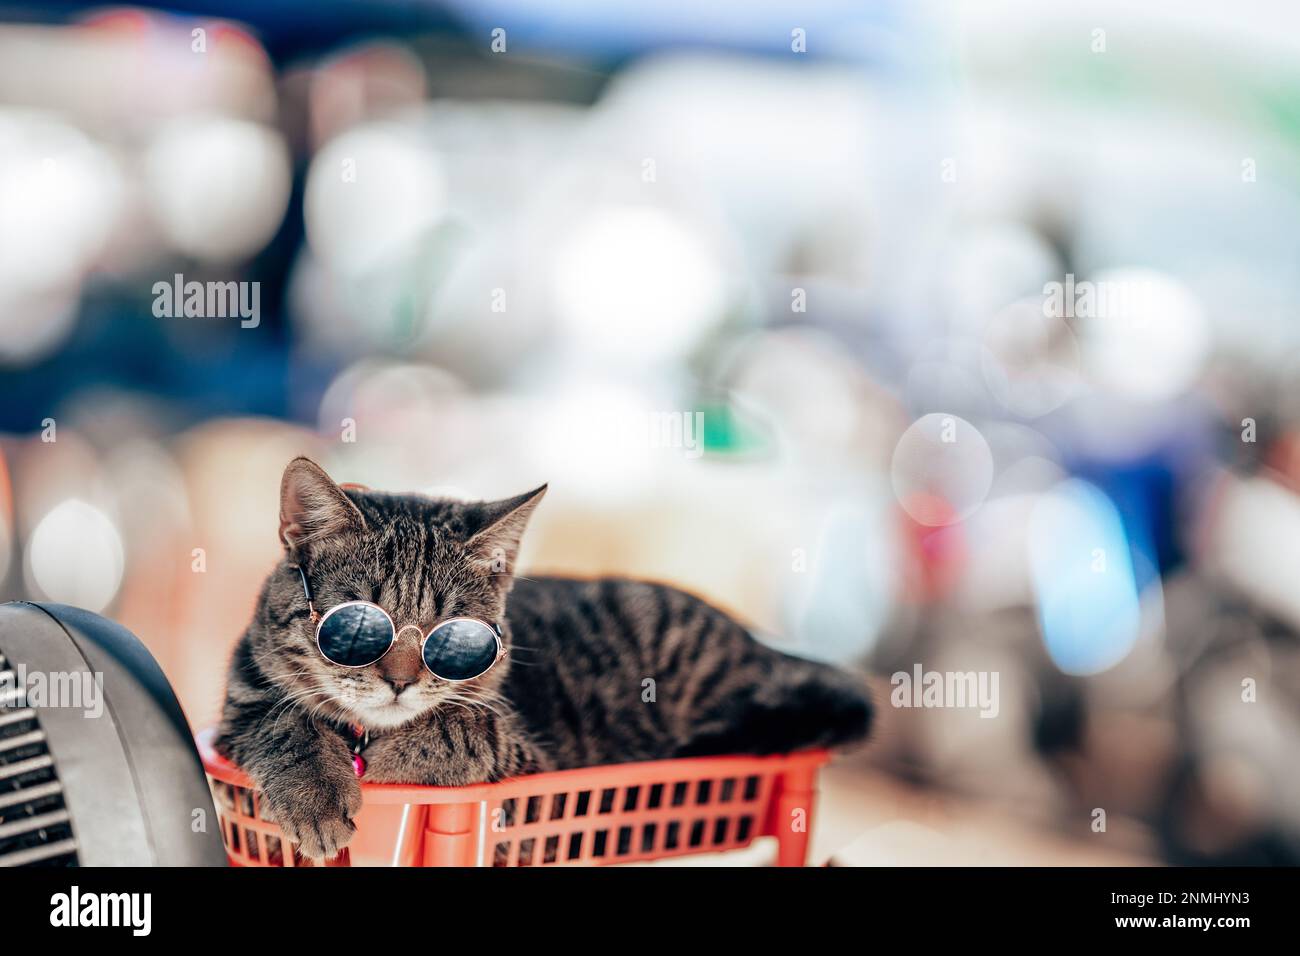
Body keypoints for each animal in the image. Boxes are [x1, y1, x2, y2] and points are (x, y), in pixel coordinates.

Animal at [215, 455, 873, 858]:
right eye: (355, 625)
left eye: (453, 639)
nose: (400, 681)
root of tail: (765, 647)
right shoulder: (231, 722)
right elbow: (282, 720)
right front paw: (316, 796)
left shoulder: (539, 782)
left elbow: (466, 727)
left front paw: (396, 754)